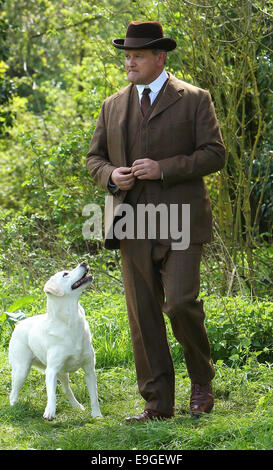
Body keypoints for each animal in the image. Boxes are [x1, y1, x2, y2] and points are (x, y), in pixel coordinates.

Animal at [8, 262, 102, 420]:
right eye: (65, 274)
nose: (84, 262)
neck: (71, 322)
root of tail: (19, 324)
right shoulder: (51, 370)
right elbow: (51, 394)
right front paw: (50, 411)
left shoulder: (89, 368)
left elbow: (94, 395)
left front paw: (97, 415)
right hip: (22, 370)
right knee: (13, 391)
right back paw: (13, 407)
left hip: (63, 373)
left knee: (67, 390)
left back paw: (77, 406)